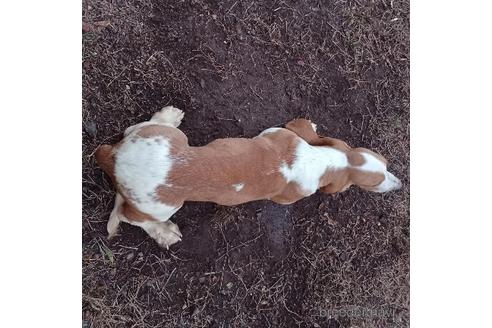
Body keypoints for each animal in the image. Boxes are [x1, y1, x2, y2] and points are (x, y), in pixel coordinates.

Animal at [95, 107, 400, 249]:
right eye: (374, 184)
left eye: (386, 165)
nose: (399, 184)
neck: (321, 161)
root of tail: (113, 158)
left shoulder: (276, 133)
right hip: (164, 206)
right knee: (127, 216)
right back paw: (163, 232)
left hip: (165, 138)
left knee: (135, 127)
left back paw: (167, 116)